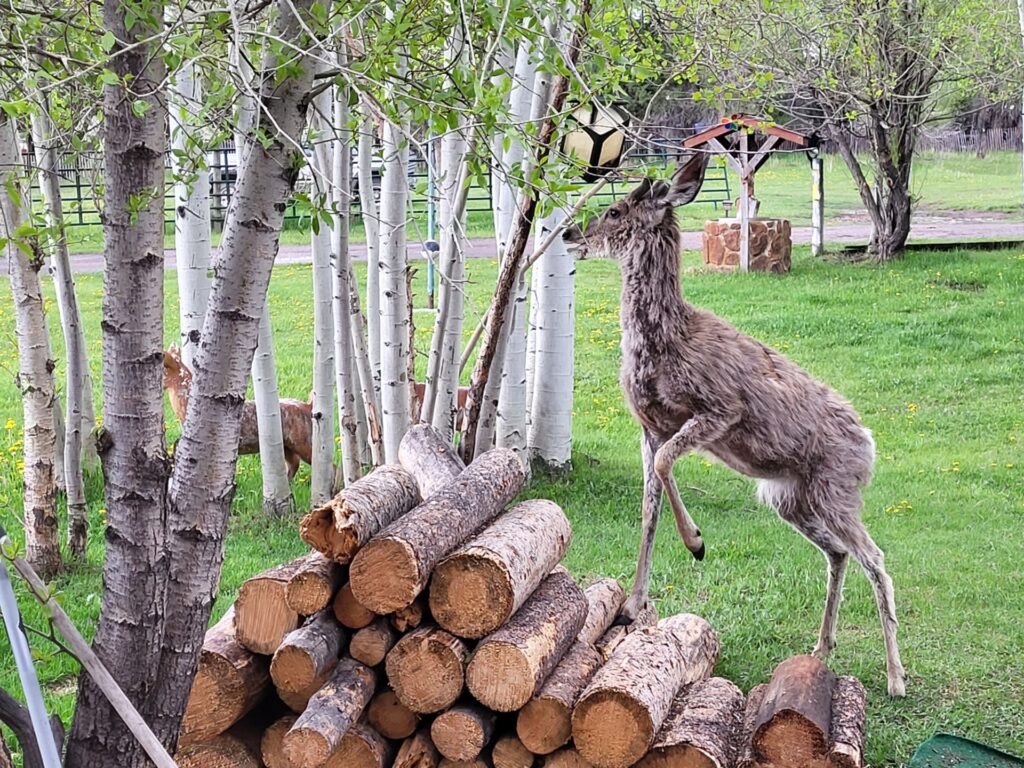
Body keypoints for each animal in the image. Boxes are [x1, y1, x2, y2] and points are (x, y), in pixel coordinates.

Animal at [563, 153, 907, 697]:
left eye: (615, 211)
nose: (570, 233)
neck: (665, 340)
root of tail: (869, 444)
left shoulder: (720, 409)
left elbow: (667, 466)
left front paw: (696, 543)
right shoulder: (649, 427)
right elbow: (648, 508)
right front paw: (634, 604)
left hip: (835, 489)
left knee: (875, 558)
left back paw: (895, 676)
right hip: (790, 498)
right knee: (838, 554)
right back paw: (821, 647)